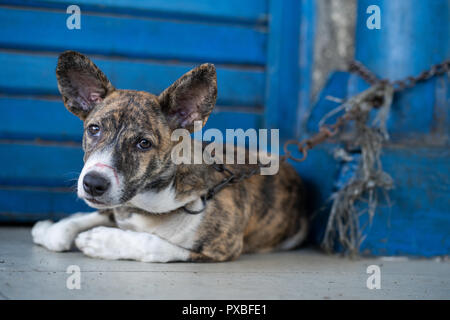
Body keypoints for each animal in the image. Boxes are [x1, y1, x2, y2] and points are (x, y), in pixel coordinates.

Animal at [29, 50, 308, 262]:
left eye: (144, 144)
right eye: (94, 129)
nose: (93, 184)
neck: (150, 203)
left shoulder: (220, 247)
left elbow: (154, 243)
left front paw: (103, 240)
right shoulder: (118, 207)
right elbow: (71, 228)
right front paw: (50, 229)